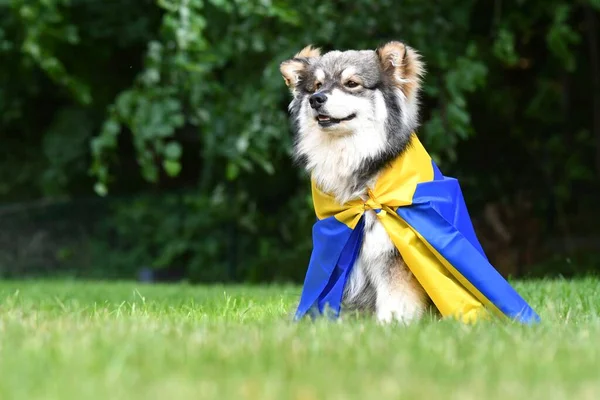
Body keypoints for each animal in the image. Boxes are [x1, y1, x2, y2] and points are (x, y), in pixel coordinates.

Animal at [282, 40, 432, 324]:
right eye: (316, 86)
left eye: (351, 83)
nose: (316, 99)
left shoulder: (391, 251)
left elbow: (396, 298)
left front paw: (392, 324)